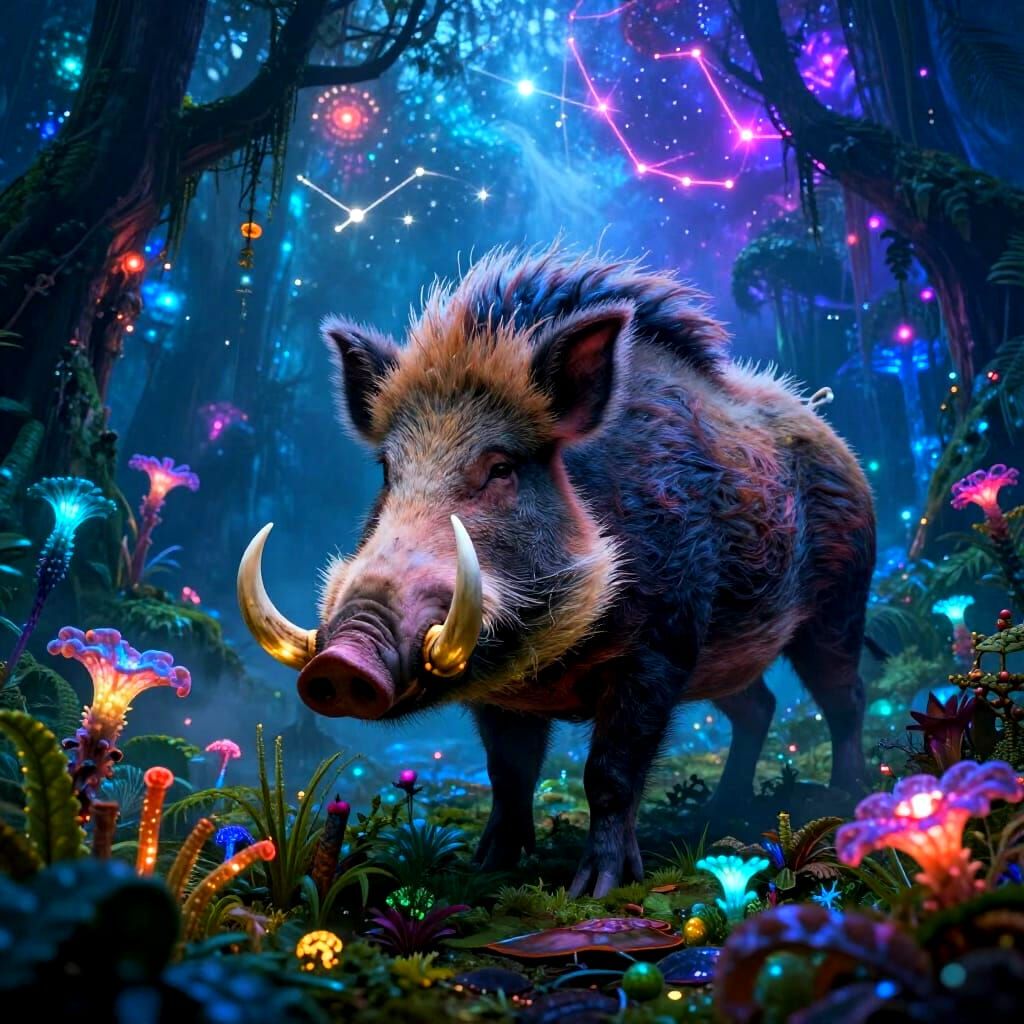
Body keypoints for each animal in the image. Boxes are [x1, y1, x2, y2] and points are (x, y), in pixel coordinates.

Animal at [237, 246, 875, 897]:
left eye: (500, 467)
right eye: (388, 471)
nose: (342, 661)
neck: (552, 656)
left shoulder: (662, 645)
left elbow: (609, 773)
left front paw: (596, 889)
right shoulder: (503, 692)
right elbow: (508, 772)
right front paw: (487, 869)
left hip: (838, 605)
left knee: (845, 696)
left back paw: (842, 798)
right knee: (761, 706)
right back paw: (721, 813)